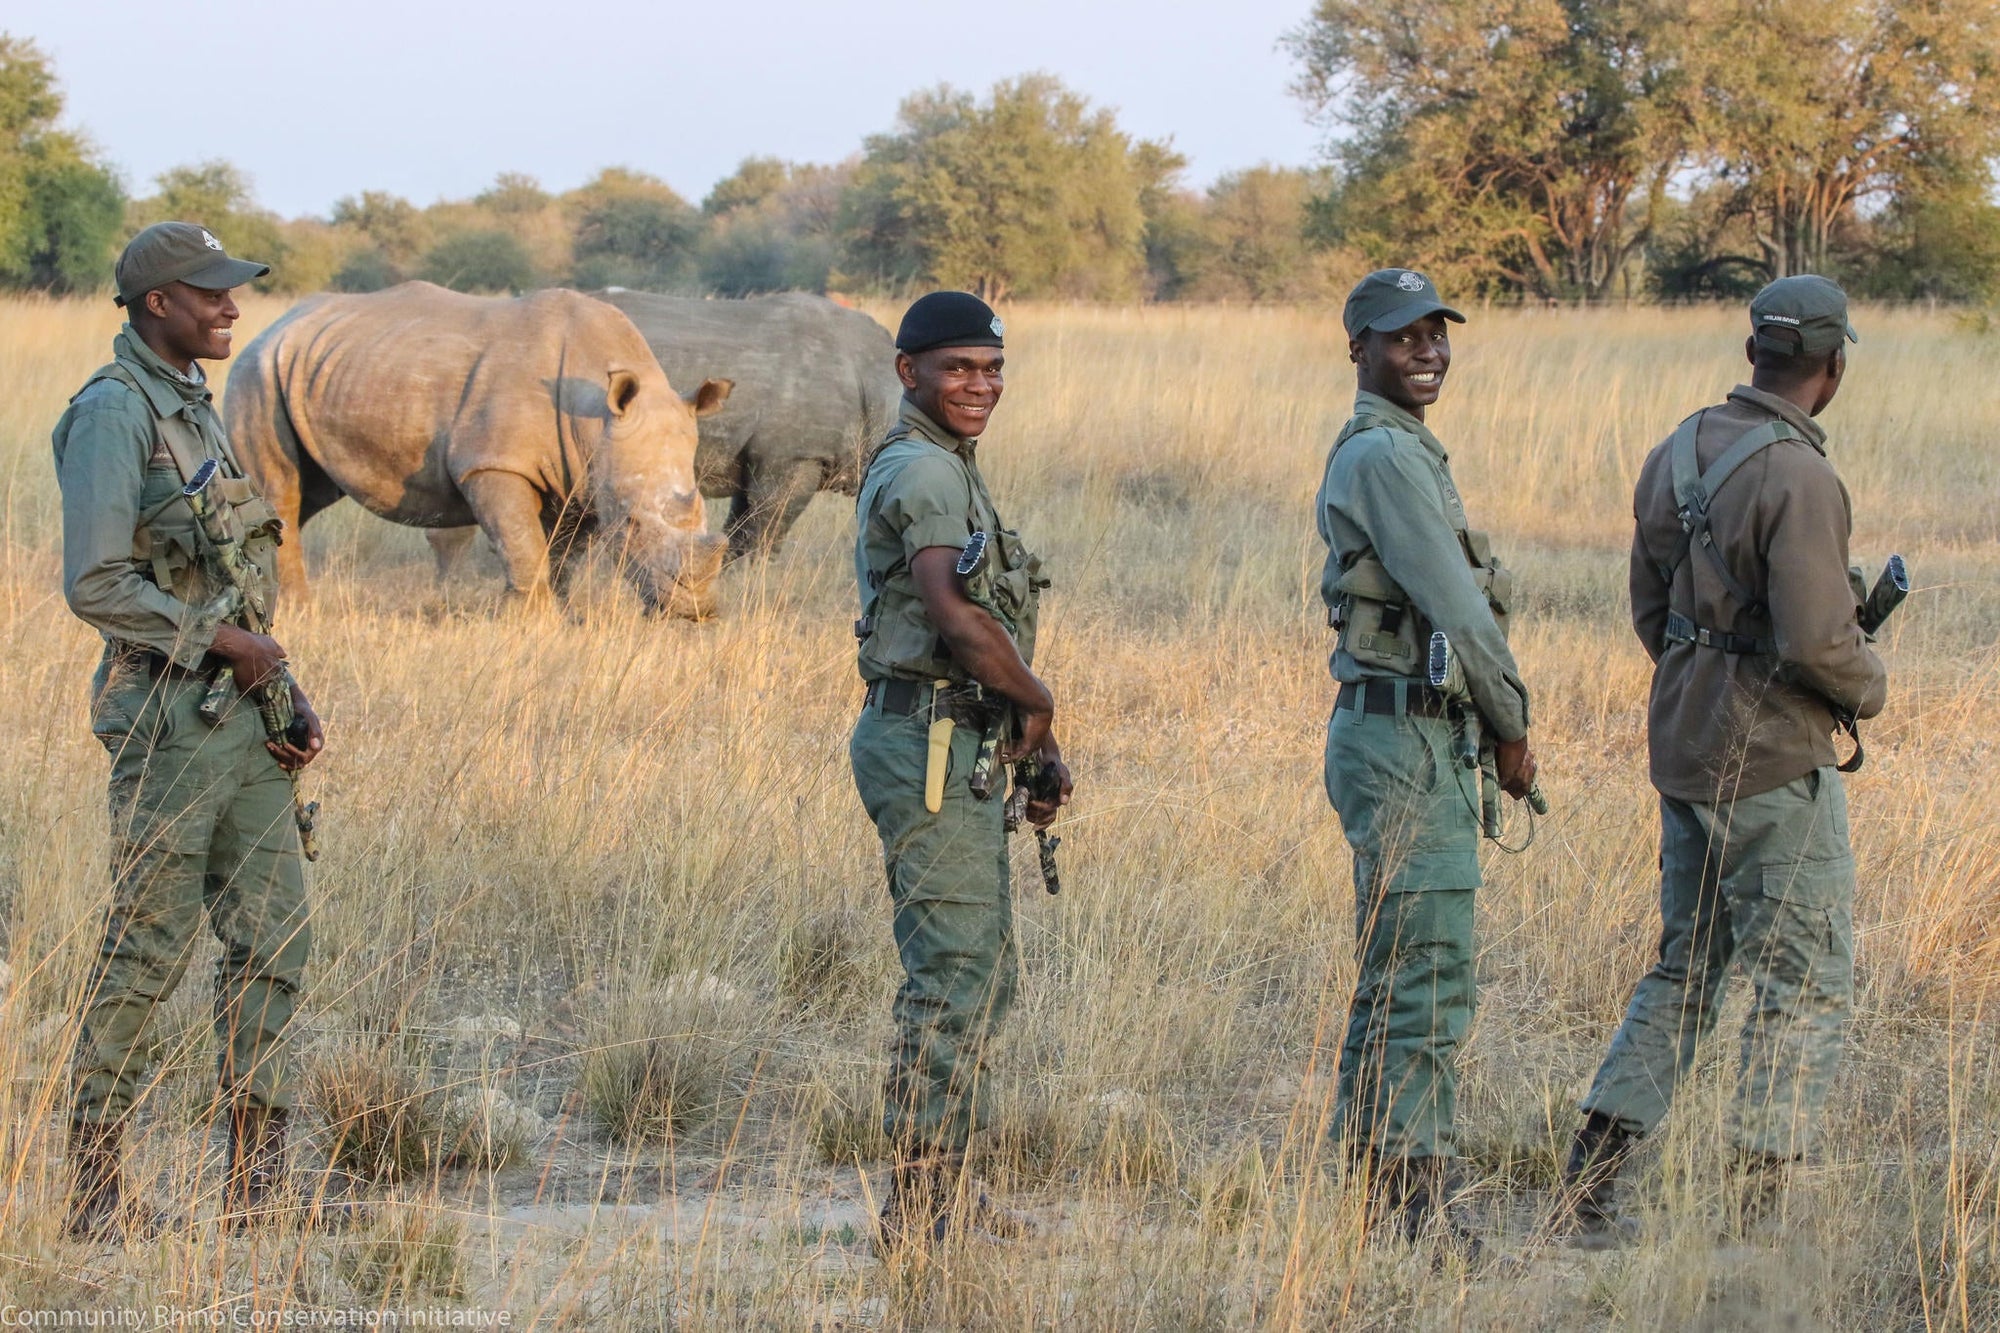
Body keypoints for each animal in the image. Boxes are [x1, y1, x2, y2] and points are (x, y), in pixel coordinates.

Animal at [226, 282, 731, 617]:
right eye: (631, 525)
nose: (695, 610)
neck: (596, 417)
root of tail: (275, 325)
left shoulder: (585, 478)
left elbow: (564, 554)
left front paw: (565, 616)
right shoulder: (492, 465)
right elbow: (521, 544)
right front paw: (530, 623)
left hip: (315, 367)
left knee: (308, 493)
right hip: (256, 372)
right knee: (281, 486)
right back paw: (297, 609)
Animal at [427, 290, 900, 576]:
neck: (880, 375)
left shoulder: (763, 456)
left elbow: (744, 524)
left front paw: (726, 576)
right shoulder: (793, 455)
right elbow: (767, 527)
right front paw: (753, 581)